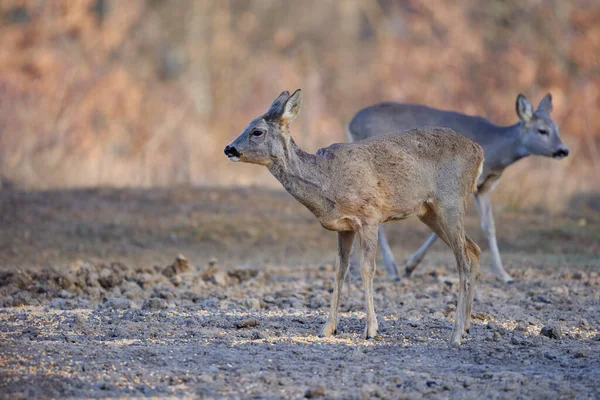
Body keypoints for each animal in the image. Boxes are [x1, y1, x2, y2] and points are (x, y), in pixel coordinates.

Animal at [224, 90, 482, 346]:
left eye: (257, 131)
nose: (229, 149)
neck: (328, 181)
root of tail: (478, 151)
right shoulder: (344, 227)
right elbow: (340, 270)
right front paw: (327, 328)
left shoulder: (370, 217)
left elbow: (367, 269)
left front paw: (371, 329)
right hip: (429, 212)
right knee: (473, 250)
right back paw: (467, 327)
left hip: (451, 201)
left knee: (463, 260)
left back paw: (456, 334)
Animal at [346, 94, 568, 282]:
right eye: (542, 130)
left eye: (557, 127)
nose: (563, 150)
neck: (497, 149)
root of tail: (351, 123)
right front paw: (410, 265)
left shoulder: (484, 187)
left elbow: (489, 226)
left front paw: (504, 275)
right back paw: (389, 270)